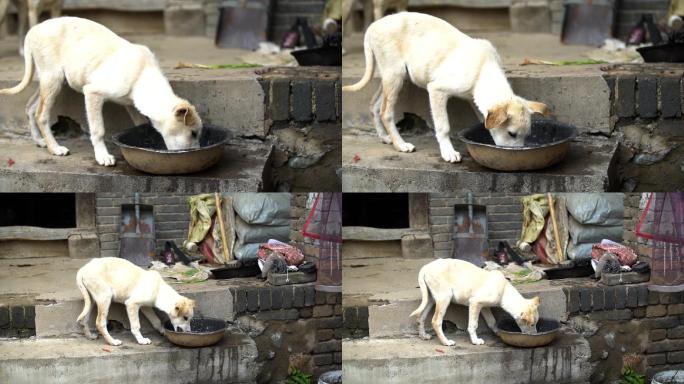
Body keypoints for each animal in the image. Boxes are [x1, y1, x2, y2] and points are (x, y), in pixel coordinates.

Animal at [0, 16, 202, 166]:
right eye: (193, 133)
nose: (194, 153)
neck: (142, 75)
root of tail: (34, 30)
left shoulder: (131, 104)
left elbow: (141, 125)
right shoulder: (93, 93)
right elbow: (98, 130)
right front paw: (102, 156)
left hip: (52, 80)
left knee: (30, 107)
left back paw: (39, 141)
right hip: (53, 79)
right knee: (41, 114)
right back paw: (55, 148)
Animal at [342, 12, 552, 162]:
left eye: (527, 136)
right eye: (511, 134)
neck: (483, 69)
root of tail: (373, 26)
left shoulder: (475, 101)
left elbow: (483, 121)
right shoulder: (437, 90)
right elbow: (443, 126)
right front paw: (448, 152)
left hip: (392, 76)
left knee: (374, 105)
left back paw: (385, 137)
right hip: (395, 75)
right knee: (386, 111)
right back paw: (400, 144)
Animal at [412, 260, 540, 346]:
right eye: (532, 324)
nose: (535, 336)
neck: (504, 291)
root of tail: (425, 267)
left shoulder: (484, 307)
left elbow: (492, 322)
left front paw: (498, 333)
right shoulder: (475, 303)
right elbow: (473, 325)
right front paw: (475, 341)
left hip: (431, 299)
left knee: (420, 317)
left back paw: (423, 336)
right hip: (444, 297)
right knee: (436, 321)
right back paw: (446, 342)